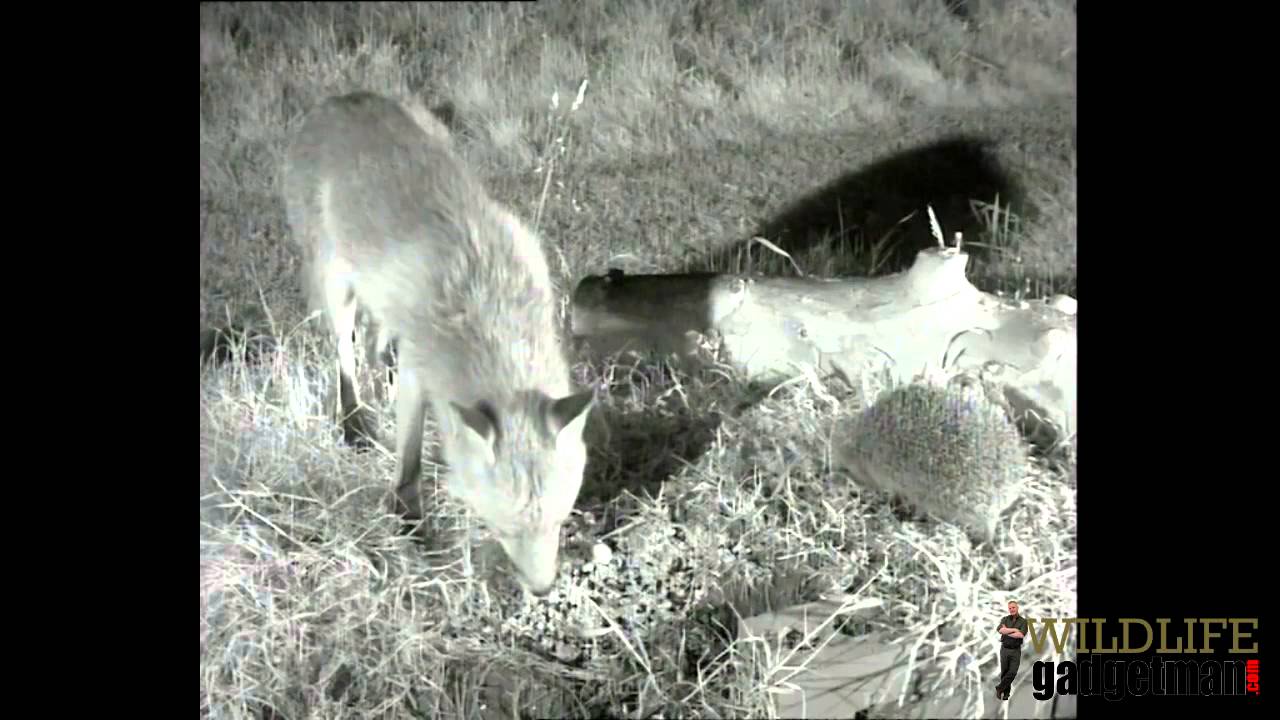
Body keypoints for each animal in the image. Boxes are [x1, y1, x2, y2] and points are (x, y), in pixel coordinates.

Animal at [281, 91, 595, 596]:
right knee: (346, 354)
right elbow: (409, 456)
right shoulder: (420, 363)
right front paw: (409, 524)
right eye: (502, 528)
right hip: (336, 285)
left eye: (557, 521)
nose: (542, 589)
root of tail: (342, 98)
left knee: (373, 344)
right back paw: (353, 423)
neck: (485, 298)